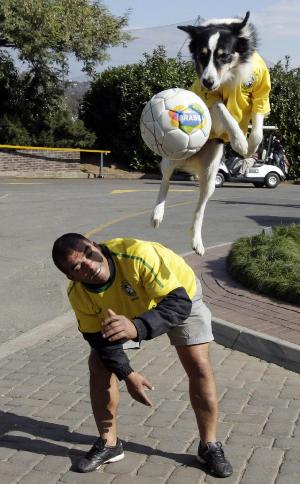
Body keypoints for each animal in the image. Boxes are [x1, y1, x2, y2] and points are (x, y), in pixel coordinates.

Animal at [151, 11, 270, 255]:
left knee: (199, 209)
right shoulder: (210, 96)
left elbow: (258, 123)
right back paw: (157, 213)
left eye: (224, 56)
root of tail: (191, 159)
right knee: (165, 180)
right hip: (171, 157)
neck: (231, 75)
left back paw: (197, 242)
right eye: (202, 56)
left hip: (211, 176)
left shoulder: (261, 89)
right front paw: (239, 141)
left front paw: (250, 145)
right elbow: (224, 110)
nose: (207, 81)